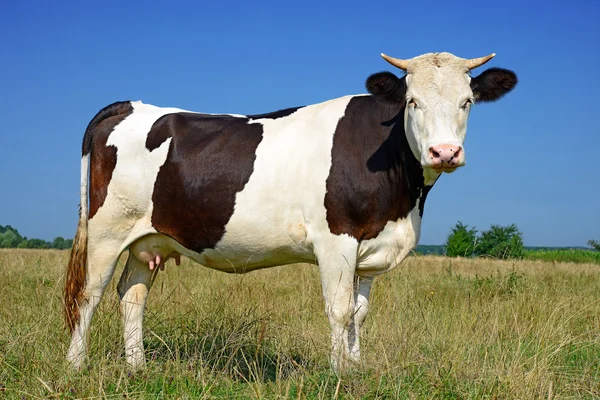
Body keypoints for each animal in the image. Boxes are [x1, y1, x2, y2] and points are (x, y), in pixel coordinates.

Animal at [64, 51, 516, 370]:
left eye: (467, 101)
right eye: (412, 101)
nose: (445, 152)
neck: (405, 201)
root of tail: (131, 105)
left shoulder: (371, 245)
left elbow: (359, 314)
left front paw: (356, 369)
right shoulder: (336, 239)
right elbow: (338, 311)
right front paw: (338, 373)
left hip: (149, 239)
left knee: (132, 295)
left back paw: (137, 368)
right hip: (106, 231)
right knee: (89, 294)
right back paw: (76, 366)